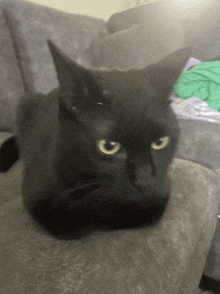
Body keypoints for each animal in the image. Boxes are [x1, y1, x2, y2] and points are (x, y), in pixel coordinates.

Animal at [12, 41, 190, 239]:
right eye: (108, 146)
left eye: (160, 142)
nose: (144, 180)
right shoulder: (37, 199)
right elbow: (68, 223)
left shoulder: (161, 190)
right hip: (26, 102)